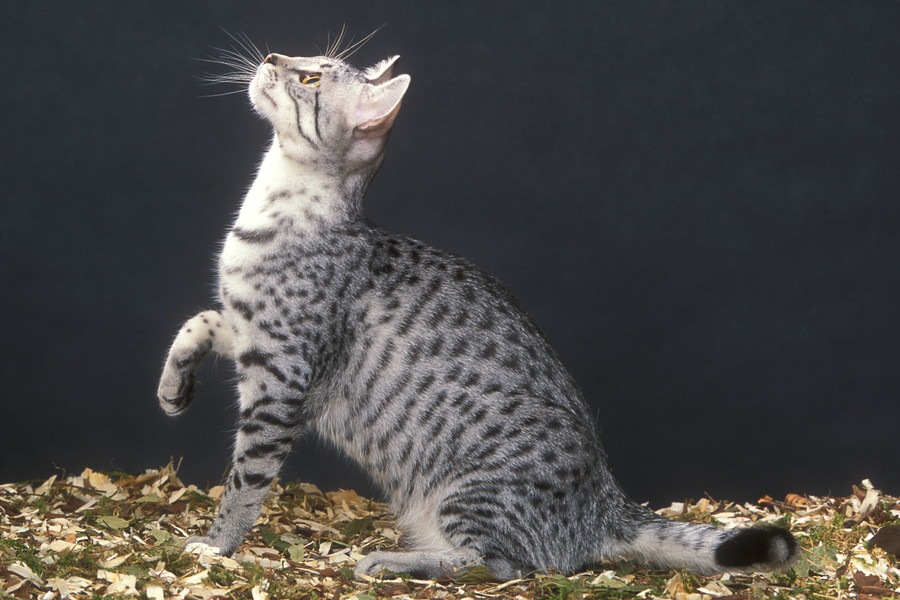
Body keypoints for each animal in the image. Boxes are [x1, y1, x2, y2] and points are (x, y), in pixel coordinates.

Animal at [158, 39, 800, 580]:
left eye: (310, 76)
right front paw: (172, 389)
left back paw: (392, 562)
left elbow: (245, 482)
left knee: (499, 565)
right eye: (301, 56)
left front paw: (215, 545)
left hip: (469, 494)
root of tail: (608, 505)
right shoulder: (243, 328)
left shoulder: (279, 380)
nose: (271, 54)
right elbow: (196, 320)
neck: (271, 208)